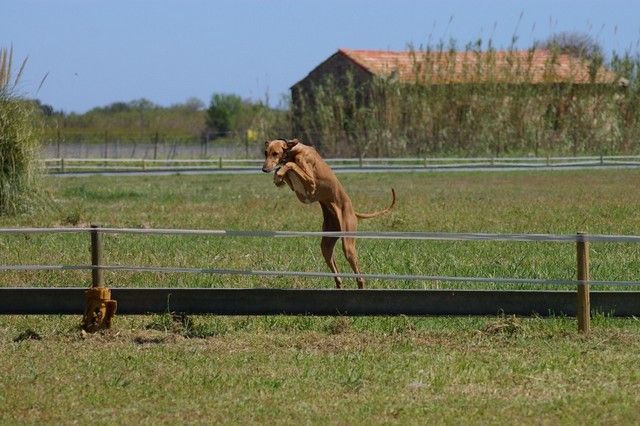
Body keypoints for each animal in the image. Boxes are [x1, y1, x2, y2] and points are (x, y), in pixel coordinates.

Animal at [262, 139, 396, 290]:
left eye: (275, 153)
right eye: (266, 153)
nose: (264, 169)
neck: (293, 151)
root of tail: (353, 211)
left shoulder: (311, 184)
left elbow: (291, 166)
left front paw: (281, 171)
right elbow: (285, 171)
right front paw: (278, 175)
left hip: (348, 245)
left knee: (360, 277)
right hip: (327, 245)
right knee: (338, 276)